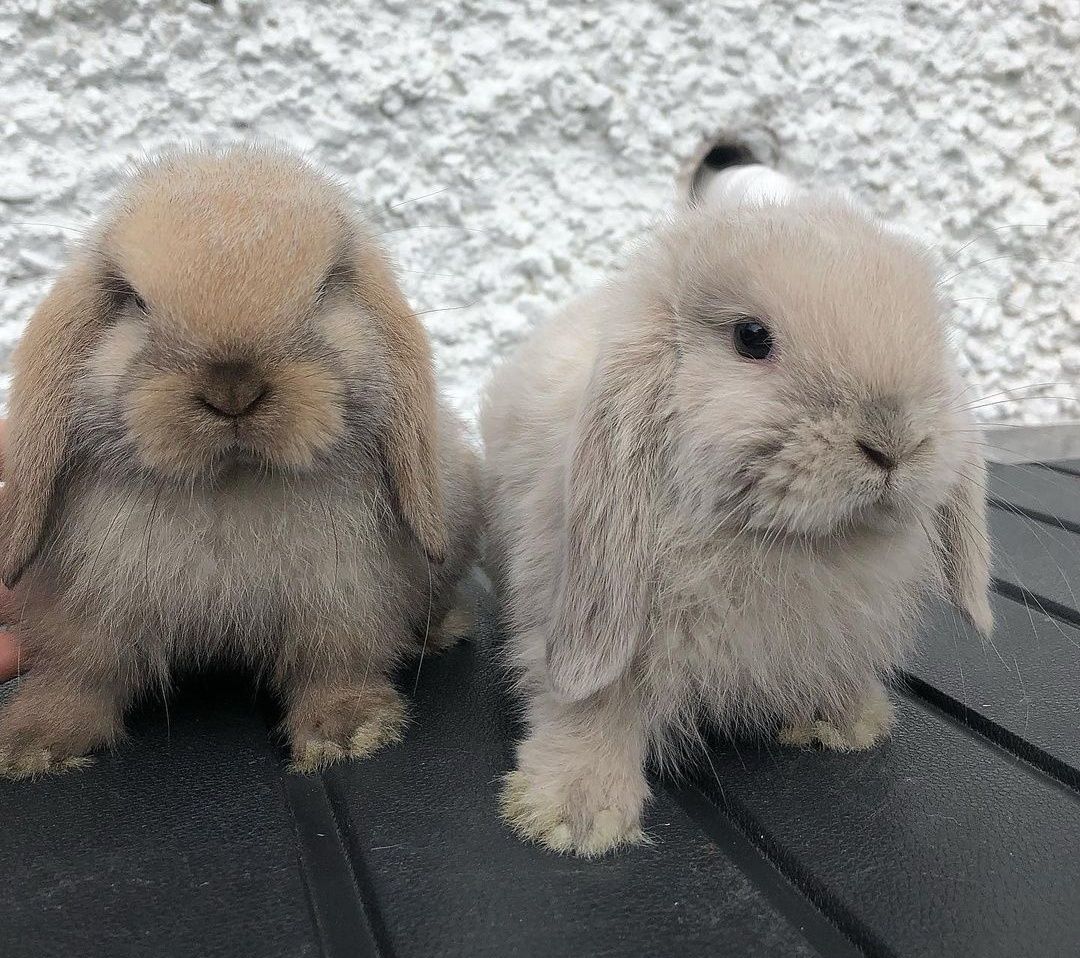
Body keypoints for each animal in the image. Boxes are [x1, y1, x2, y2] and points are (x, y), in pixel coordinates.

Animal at [0, 144, 481, 777]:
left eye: (326, 288)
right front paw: (34, 743)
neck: (233, 482)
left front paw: (348, 733)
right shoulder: (87, 608)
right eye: (131, 299)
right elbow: (77, 673)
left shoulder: (342, 599)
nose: (233, 389)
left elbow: (335, 663)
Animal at [486, 153, 989, 859]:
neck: (785, 541)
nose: (894, 442)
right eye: (751, 338)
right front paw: (574, 817)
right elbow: (592, 701)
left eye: (936, 335)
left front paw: (848, 721)